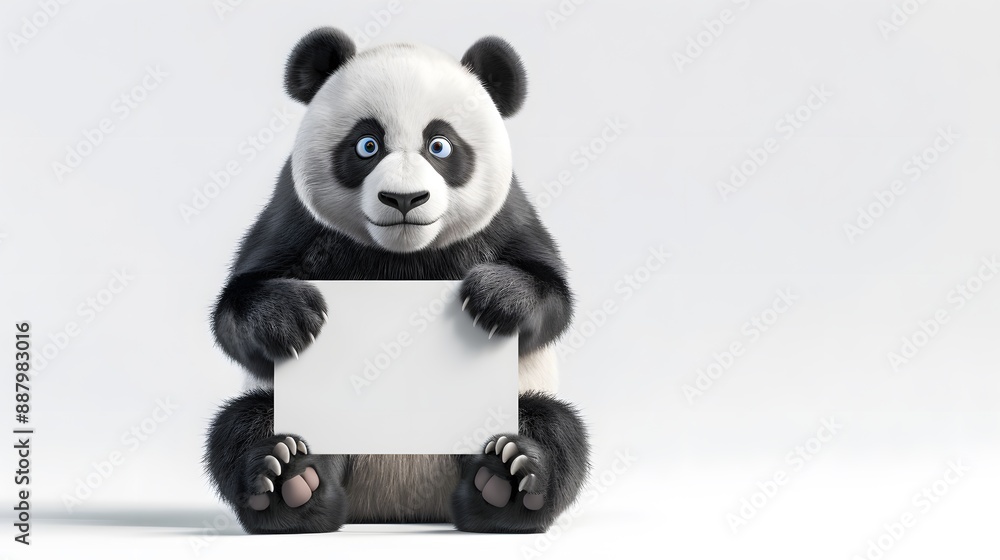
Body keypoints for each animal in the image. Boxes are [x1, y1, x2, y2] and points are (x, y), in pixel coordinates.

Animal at [205, 27, 590, 534]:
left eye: (440, 145)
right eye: (367, 144)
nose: (405, 199)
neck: (403, 254)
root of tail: (397, 503)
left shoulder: (506, 216)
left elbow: (551, 293)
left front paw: (495, 300)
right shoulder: (295, 217)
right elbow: (239, 304)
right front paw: (290, 319)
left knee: (553, 426)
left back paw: (508, 477)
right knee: (243, 424)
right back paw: (288, 478)